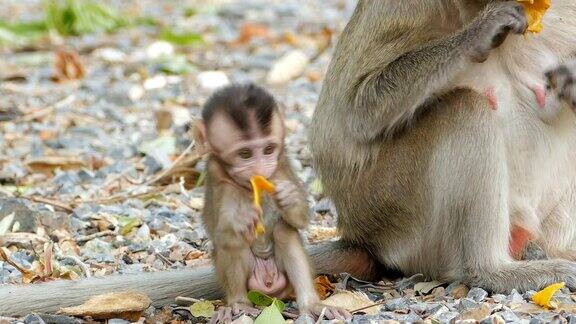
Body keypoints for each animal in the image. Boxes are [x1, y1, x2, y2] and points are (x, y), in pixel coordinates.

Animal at [194, 84, 348, 324]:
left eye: (268, 150)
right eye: (245, 154)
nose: (260, 168)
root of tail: (268, 287)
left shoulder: (280, 167)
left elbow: (301, 219)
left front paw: (290, 198)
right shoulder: (219, 178)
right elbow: (224, 233)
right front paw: (241, 219)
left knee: (284, 232)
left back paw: (312, 305)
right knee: (235, 243)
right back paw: (238, 304)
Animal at [310, 0, 576, 292]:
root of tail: (361, 239)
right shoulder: (401, 9)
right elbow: (357, 110)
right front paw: (478, 32)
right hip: (391, 208)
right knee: (464, 107)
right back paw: (490, 271)